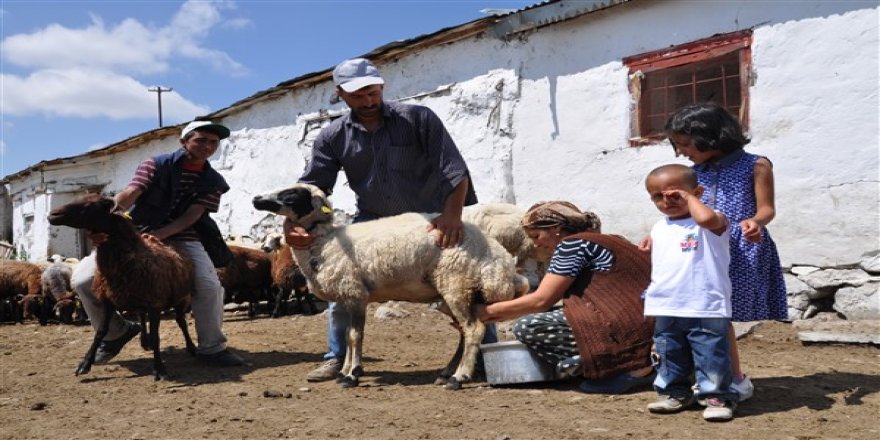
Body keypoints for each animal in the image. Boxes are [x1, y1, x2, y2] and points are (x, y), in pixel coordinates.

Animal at [46, 194, 196, 380]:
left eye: (89, 205)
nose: (53, 214)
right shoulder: (108, 301)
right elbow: (100, 332)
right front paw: (85, 364)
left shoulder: (155, 304)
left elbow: (157, 336)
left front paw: (160, 369)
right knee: (142, 316)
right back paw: (144, 340)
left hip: (181, 298)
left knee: (181, 321)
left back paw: (191, 347)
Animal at [253, 184, 528, 390]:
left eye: (292, 194)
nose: (256, 198)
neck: (324, 242)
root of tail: (501, 263)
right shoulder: (348, 296)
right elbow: (347, 335)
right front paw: (344, 370)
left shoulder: (355, 293)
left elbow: (354, 335)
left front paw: (352, 374)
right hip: (458, 294)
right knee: (464, 331)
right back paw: (447, 373)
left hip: (456, 283)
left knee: (473, 329)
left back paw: (458, 378)